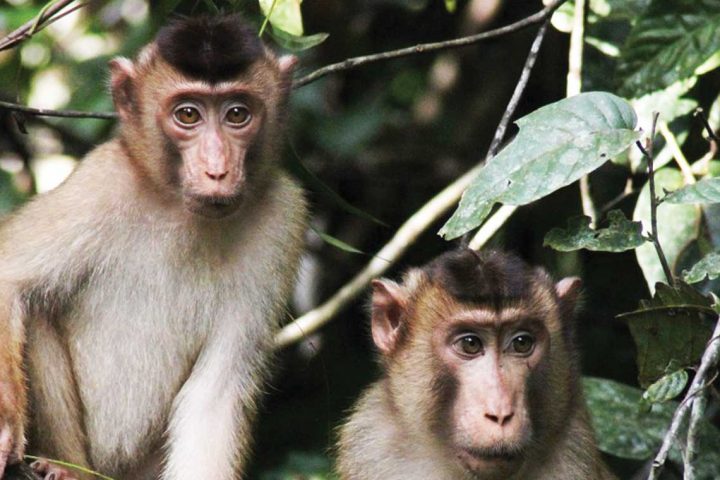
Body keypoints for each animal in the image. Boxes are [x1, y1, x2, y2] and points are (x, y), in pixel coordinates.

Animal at [0, 14, 306, 480]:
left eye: (238, 114)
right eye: (188, 114)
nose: (217, 169)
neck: (179, 208)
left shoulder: (283, 219)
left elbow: (215, 394)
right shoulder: (100, 183)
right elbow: (7, 278)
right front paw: (4, 429)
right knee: (36, 308)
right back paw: (67, 468)